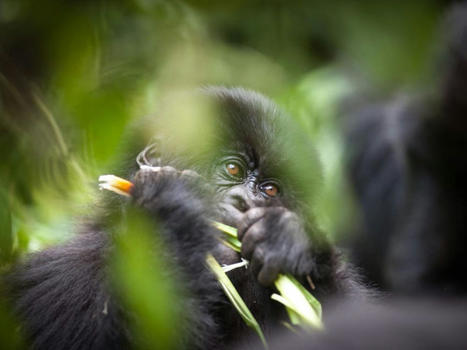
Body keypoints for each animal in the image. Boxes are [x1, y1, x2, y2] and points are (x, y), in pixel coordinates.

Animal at [4, 86, 370, 348]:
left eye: (270, 190)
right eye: (233, 169)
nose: (246, 203)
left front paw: (292, 239)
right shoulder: (59, 274)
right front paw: (168, 216)